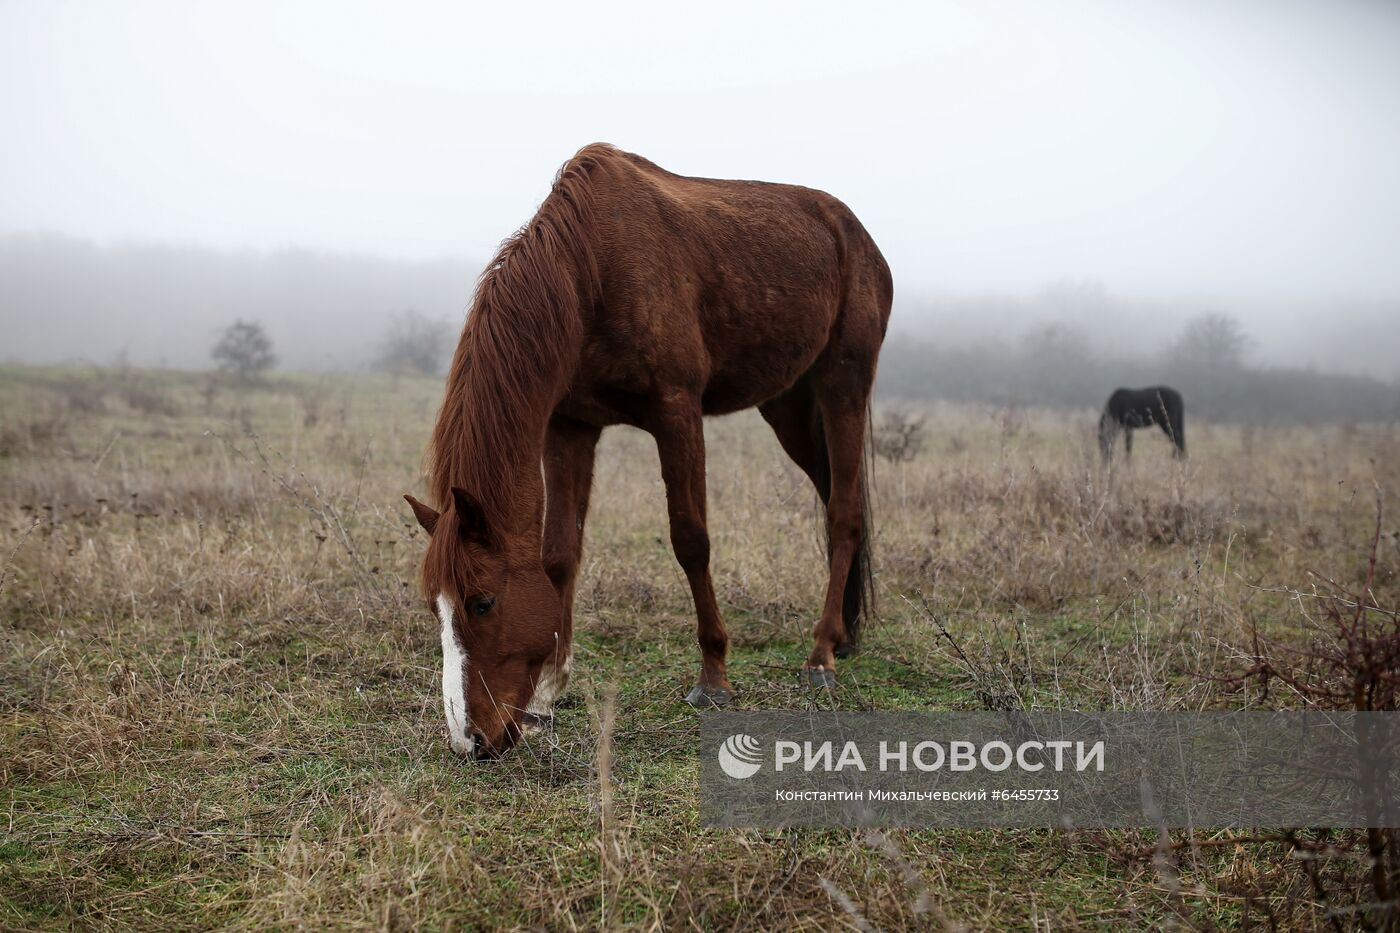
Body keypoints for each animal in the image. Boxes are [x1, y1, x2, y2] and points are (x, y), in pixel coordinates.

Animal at [400, 143, 890, 756]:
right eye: (434, 608)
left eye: (482, 602)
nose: (470, 741)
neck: (589, 272)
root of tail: (857, 235)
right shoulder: (570, 425)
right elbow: (560, 554)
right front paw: (549, 691)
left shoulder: (677, 412)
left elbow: (691, 540)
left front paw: (714, 677)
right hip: (788, 405)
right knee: (833, 500)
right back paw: (846, 635)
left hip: (843, 382)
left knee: (844, 514)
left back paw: (821, 655)